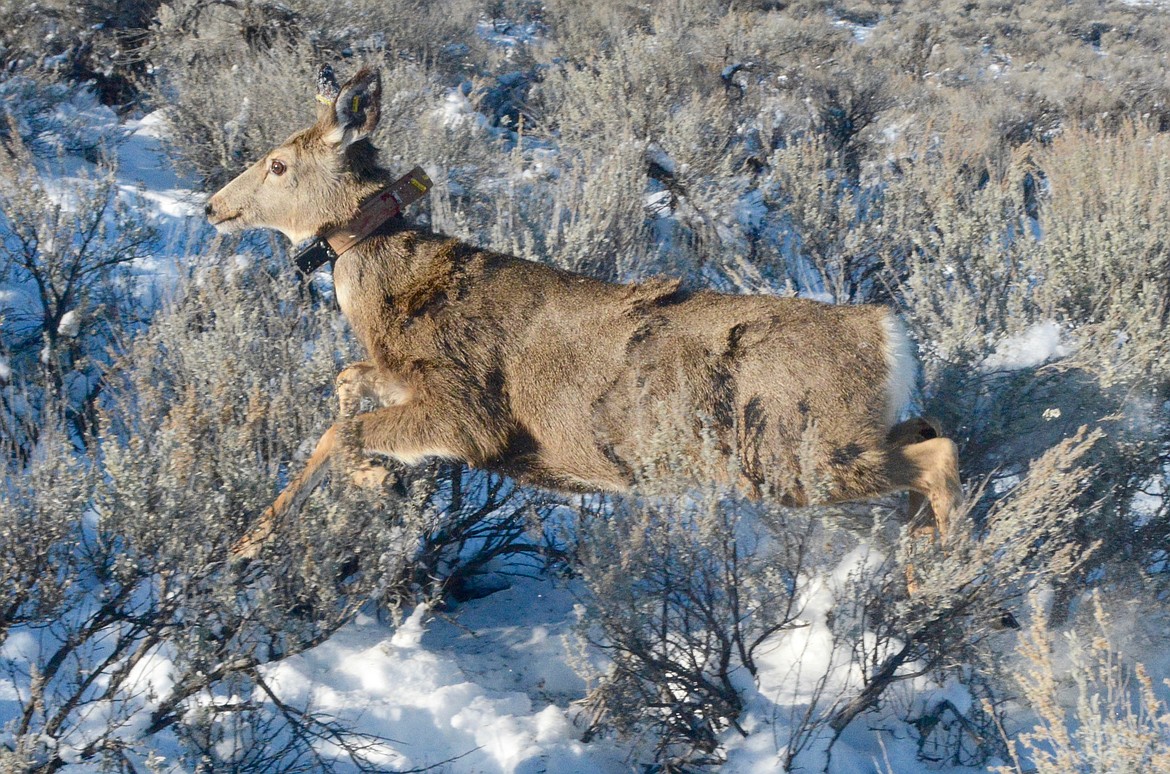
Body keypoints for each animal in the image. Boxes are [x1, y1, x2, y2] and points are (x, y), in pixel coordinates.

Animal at [208, 65, 959, 563]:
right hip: (834, 439)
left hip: (792, 452)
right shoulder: (403, 377)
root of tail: (890, 334)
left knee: (937, 456)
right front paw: (356, 488)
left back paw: (938, 579)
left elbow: (347, 431)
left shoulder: (471, 412)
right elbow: (344, 388)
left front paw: (263, 534)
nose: (214, 206)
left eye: (277, 164)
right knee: (929, 431)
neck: (393, 296)